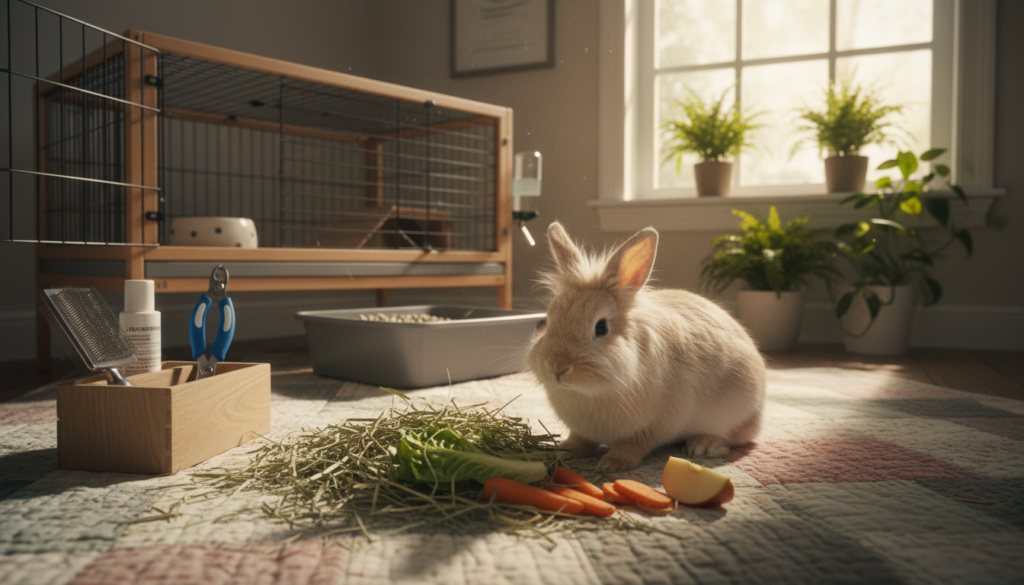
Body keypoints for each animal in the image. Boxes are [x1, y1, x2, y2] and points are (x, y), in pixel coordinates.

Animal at [526, 221, 766, 471]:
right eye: (549, 320)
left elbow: (634, 445)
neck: (590, 392)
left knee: (731, 438)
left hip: (733, 413)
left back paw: (703, 446)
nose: (556, 368)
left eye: (601, 327)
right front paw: (564, 452)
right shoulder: (582, 430)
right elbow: (580, 440)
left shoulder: (655, 426)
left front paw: (611, 464)